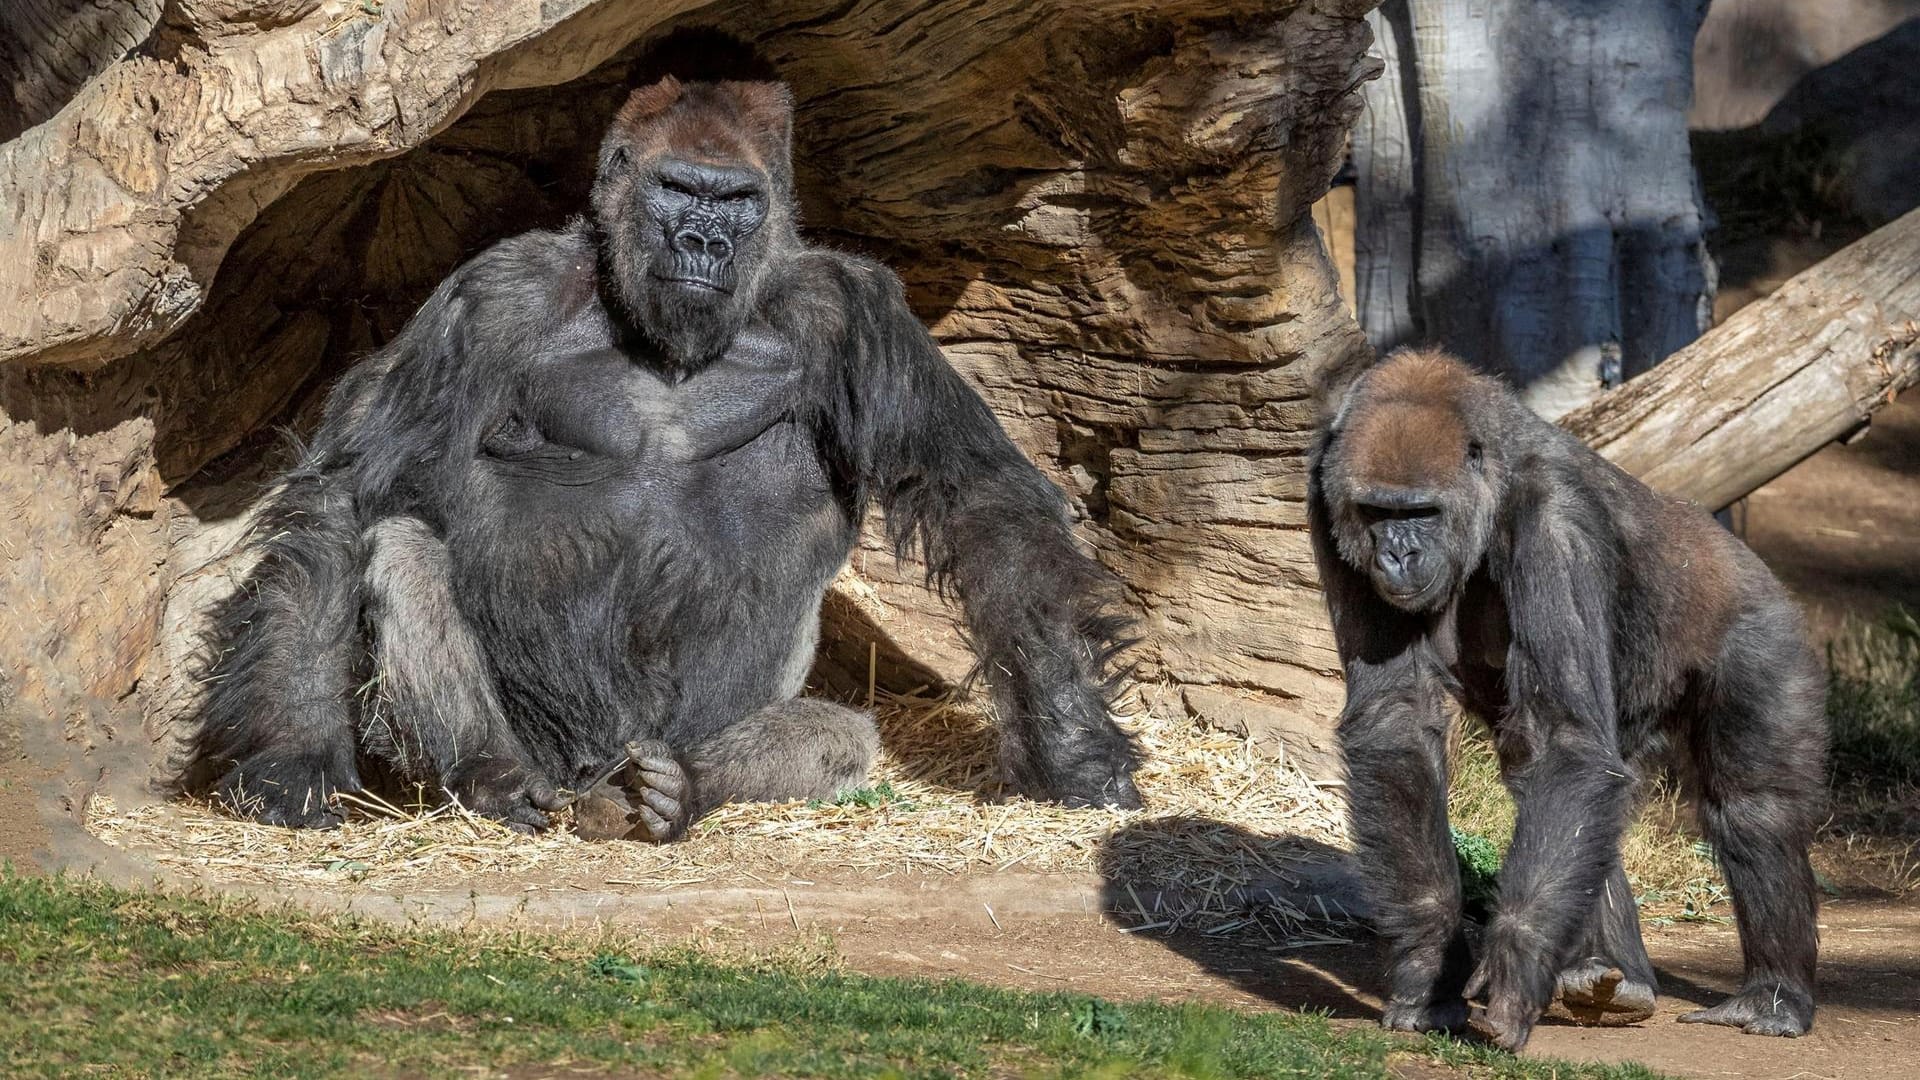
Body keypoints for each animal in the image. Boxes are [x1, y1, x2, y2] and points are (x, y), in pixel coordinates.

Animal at [183, 71, 1136, 837]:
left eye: (738, 202)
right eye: (678, 190)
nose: (703, 244)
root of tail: (590, 774)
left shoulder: (853, 308)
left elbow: (979, 498)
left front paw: (1071, 741)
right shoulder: (494, 294)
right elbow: (351, 494)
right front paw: (291, 755)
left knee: (838, 735)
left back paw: (678, 789)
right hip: (554, 754)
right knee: (404, 549)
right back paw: (496, 778)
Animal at [1305, 349, 1827, 1045]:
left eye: (1421, 513)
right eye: (1376, 514)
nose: (1398, 556)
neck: (1492, 484)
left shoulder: (1557, 519)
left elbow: (1566, 742)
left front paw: (1517, 960)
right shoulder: (1323, 492)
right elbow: (1399, 723)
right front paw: (1428, 962)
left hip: (1763, 623)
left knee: (1751, 807)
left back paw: (1773, 996)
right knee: (1562, 782)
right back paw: (1610, 975)